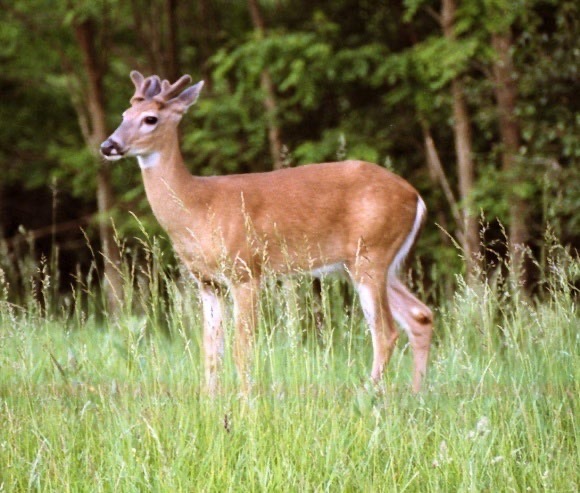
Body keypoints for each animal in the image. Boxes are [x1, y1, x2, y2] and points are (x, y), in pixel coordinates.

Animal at [101, 70, 436, 392]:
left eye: (150, 118)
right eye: (124, 114)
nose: (108, 145)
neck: (197, 207)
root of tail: (416, 197)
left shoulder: (246, 270)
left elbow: (242, 349)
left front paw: (245, 403)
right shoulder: (208, 282)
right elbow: (211, 351)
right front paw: (210, 403)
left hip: (371, 253)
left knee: (386, 331)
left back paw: (370, 395)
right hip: (369, 264)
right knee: (420, 316)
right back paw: (416, 394)